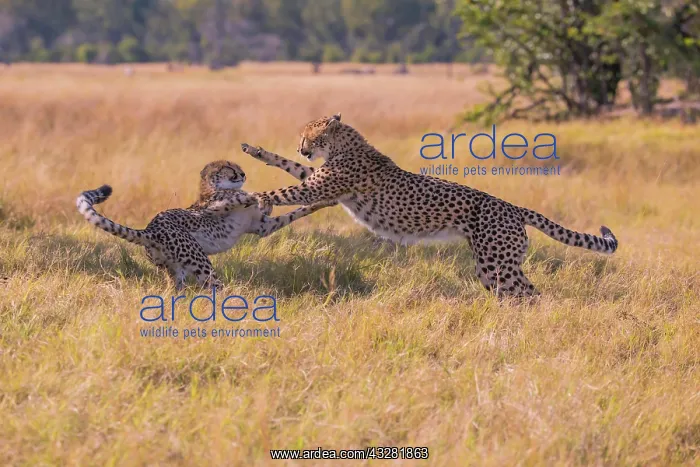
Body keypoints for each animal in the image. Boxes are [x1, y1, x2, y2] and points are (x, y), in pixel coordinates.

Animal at [76, 160, 335, 290]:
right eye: (229, 168)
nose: (243, 174)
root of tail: (150, 229)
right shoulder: (219, 205)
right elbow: (250, 195)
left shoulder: (263, 227)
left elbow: (295, 212)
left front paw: (326, 200)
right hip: (200, 261)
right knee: (214, 287)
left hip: (175, 270)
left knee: (175, 289)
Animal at [207, 114, 618, 298]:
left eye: (312, 136)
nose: (301, 146)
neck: (345, 144)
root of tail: (513, 207)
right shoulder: (321, 184)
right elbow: (288, 168)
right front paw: (256, 151)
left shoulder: (319, 187)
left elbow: (279, 192)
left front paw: (244, 200)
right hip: (492, 267)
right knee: (516, 294)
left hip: (497, 262)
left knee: (530, 295)